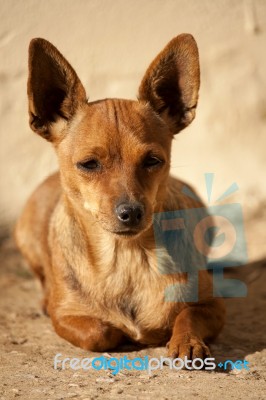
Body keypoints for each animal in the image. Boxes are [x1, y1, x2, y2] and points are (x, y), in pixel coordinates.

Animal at [15, 34, 224, 360]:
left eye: (153, 161)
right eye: (89, 164)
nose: (131, 212)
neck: (126, 257)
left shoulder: (214, 306)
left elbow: (188, 314)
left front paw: (186, 341)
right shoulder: (64, 316)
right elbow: (101, 332)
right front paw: (123, 332)